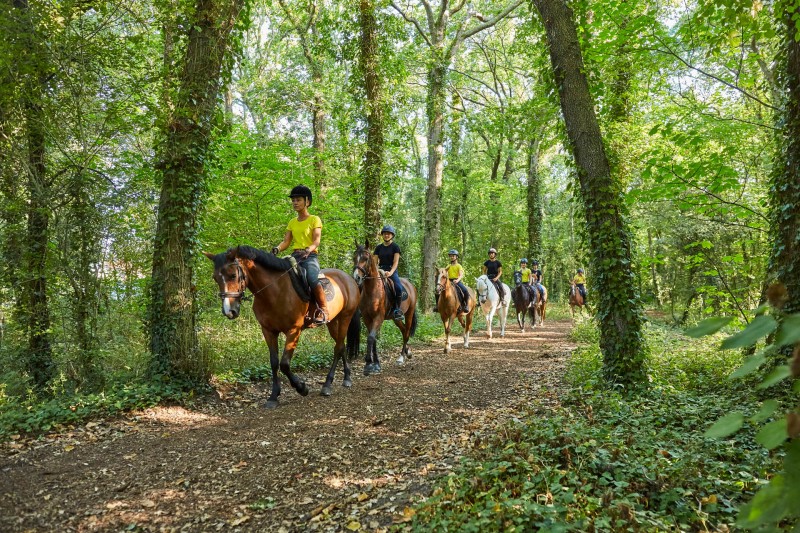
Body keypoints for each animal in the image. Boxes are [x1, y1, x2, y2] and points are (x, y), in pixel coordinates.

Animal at [205, 246, 360, 408]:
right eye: (215, 278)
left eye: (233, 275)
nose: (229, 311)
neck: (274, 291)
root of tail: (348, 278)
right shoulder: (268, 331)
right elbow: (274, 362)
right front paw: (273, 396)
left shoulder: (294, 330)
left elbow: (284, 363)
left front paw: (302, 388)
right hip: (332, 322)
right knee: (341, 346)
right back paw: (346, 377)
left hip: (345, 318)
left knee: (338, 348)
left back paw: (328, 384)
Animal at [354, 241, 422, 370]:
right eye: (354, 258)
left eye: (366, 258)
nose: (356, 277)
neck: (373, 290)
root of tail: (411, 285)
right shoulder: (367, 318)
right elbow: (373, 338)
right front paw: (374, 363)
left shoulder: (378, 317)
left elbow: (371, 338)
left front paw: (370, 363)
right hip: (395, 318)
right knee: (403, 330)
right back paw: (408, 352)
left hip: (409, 313)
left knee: (406, 332)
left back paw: (401, 357)